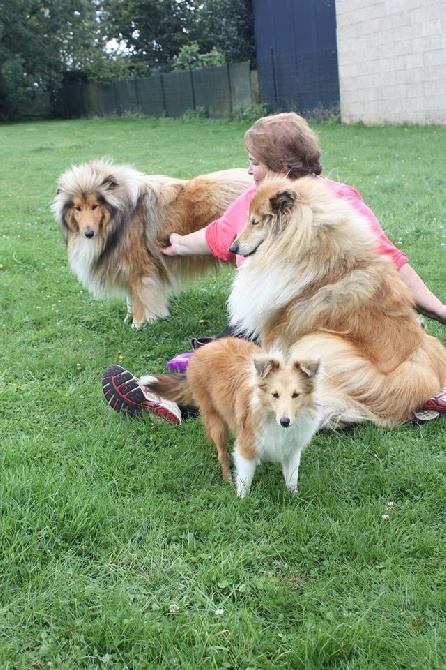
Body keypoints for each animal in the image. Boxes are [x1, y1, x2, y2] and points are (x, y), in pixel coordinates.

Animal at [52, 160, 251, 328]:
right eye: (77, 208)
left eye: (95, 205)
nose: (88, 234)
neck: (120, 215)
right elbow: (130, 298)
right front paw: (129, 318)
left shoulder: (139, 269)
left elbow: (139, 297)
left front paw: (138, 324)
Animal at [145, 338, 322, 496]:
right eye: (275, 395)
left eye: (296, 395)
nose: (285, 422)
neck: (268, 413)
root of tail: (204, 348)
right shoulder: (247, 442)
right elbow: (244, 479)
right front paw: (241, 500)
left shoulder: (291, 449)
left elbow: (292, 477)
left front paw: (293, 496)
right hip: (216, 421)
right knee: (222, 453)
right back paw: (228, 479)